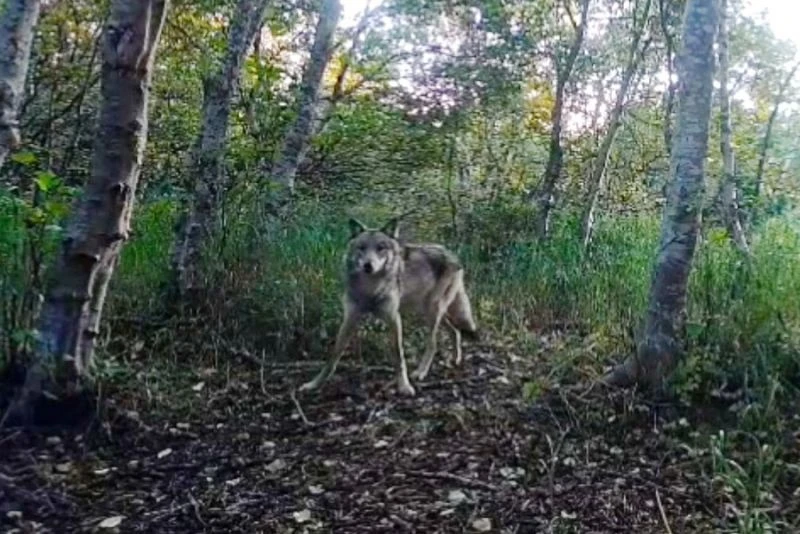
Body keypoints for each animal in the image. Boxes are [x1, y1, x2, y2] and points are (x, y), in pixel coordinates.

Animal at [299, 217, 479, 396]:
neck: (370, 289)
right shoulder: (350, 318)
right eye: (361, 247)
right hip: (427, 310)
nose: (368, 265)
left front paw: (404, 386)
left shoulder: (393, 318)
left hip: (432, 311)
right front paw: (314, 384)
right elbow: (334, 355)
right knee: (455, 331)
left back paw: (421, 372)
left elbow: (398, 356)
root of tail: (452, 253)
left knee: (433, 343)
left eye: (381, 248)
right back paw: (455, 359)